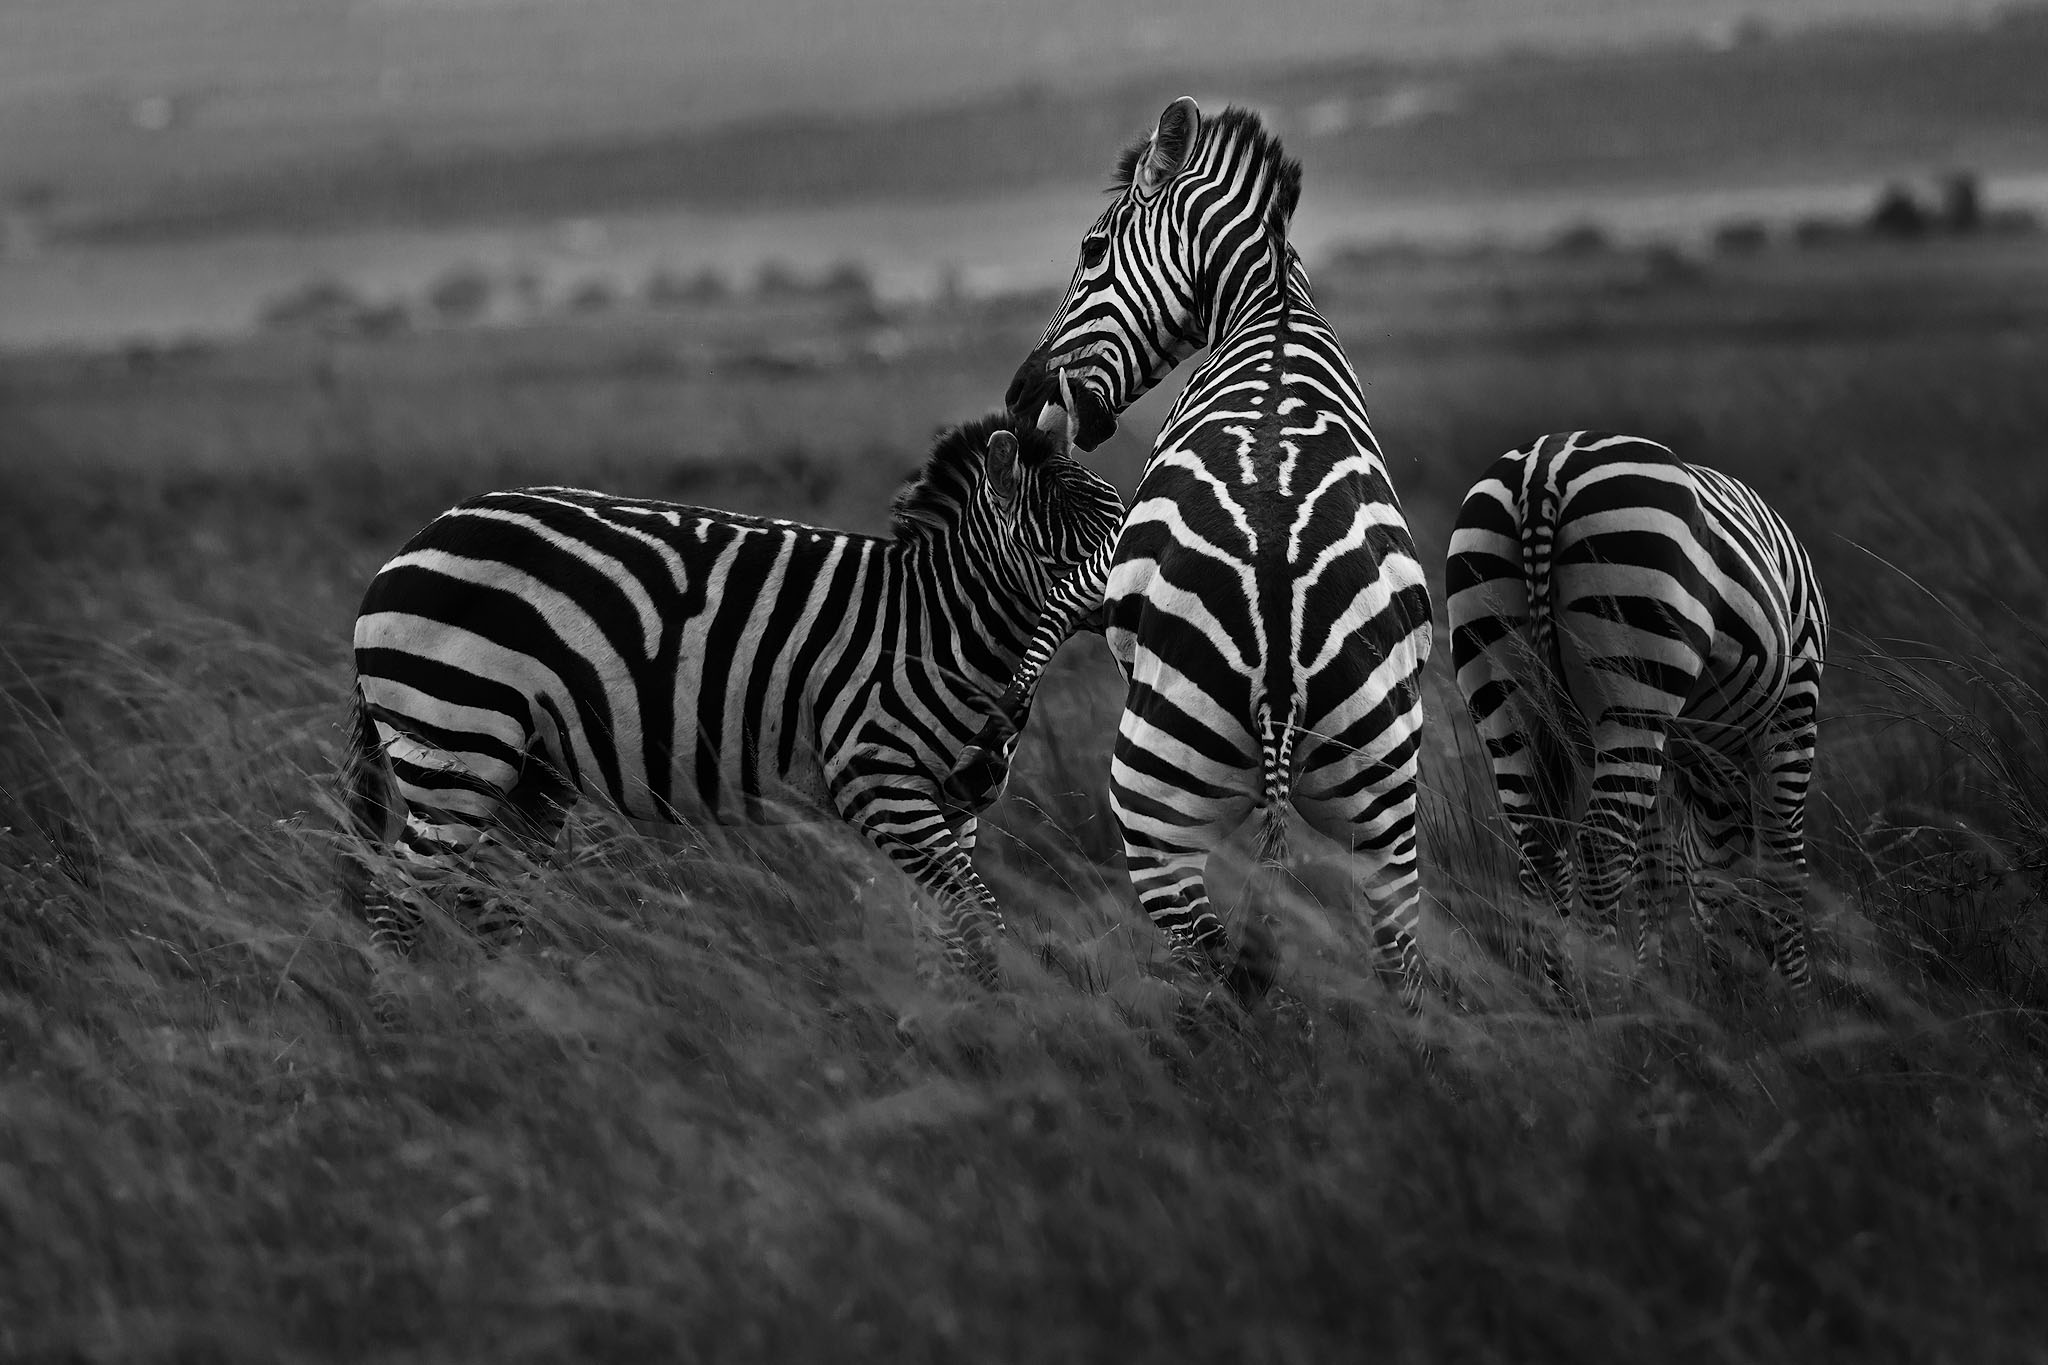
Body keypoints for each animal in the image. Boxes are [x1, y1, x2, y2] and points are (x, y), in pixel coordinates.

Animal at [340, 411, 1124, 989]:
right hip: (454, 745)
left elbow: (952, 932)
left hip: (533, 775)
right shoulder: (879, 782)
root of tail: (416, 540)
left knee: (487, 903)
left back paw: (510, 1024)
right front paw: (992, 1040)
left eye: (1119, 514)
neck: (937, 622)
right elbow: (977, 919)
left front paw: (958, 1032)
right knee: (397, 903)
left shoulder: (957, 805)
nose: (1134, 590)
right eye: (1070, 546)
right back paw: (404, 1035)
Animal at [953, 98, 1436, 1017]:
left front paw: (1002, 718)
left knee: (1219, 967)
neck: (1268, 310)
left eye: (1090, 250)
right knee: (1398, 962)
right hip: (1385, 796)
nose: (1020, 395)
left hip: (1153, 802)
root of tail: (1281, 635)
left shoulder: (1113, 562)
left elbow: (1057, 608)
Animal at [1445, 431, 1828, 1009]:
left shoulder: (1674, 754)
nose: (1735, 987)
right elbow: (1784, 864)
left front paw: (1656, 985)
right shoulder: (1794, 710)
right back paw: (1602, 1006)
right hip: (1635, 679)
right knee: (1601, 845)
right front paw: (1800, 1001)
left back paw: (1556, 999)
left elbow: (1662, 869)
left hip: (1499, 684)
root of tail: (1544, 468)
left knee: (1540, 846)